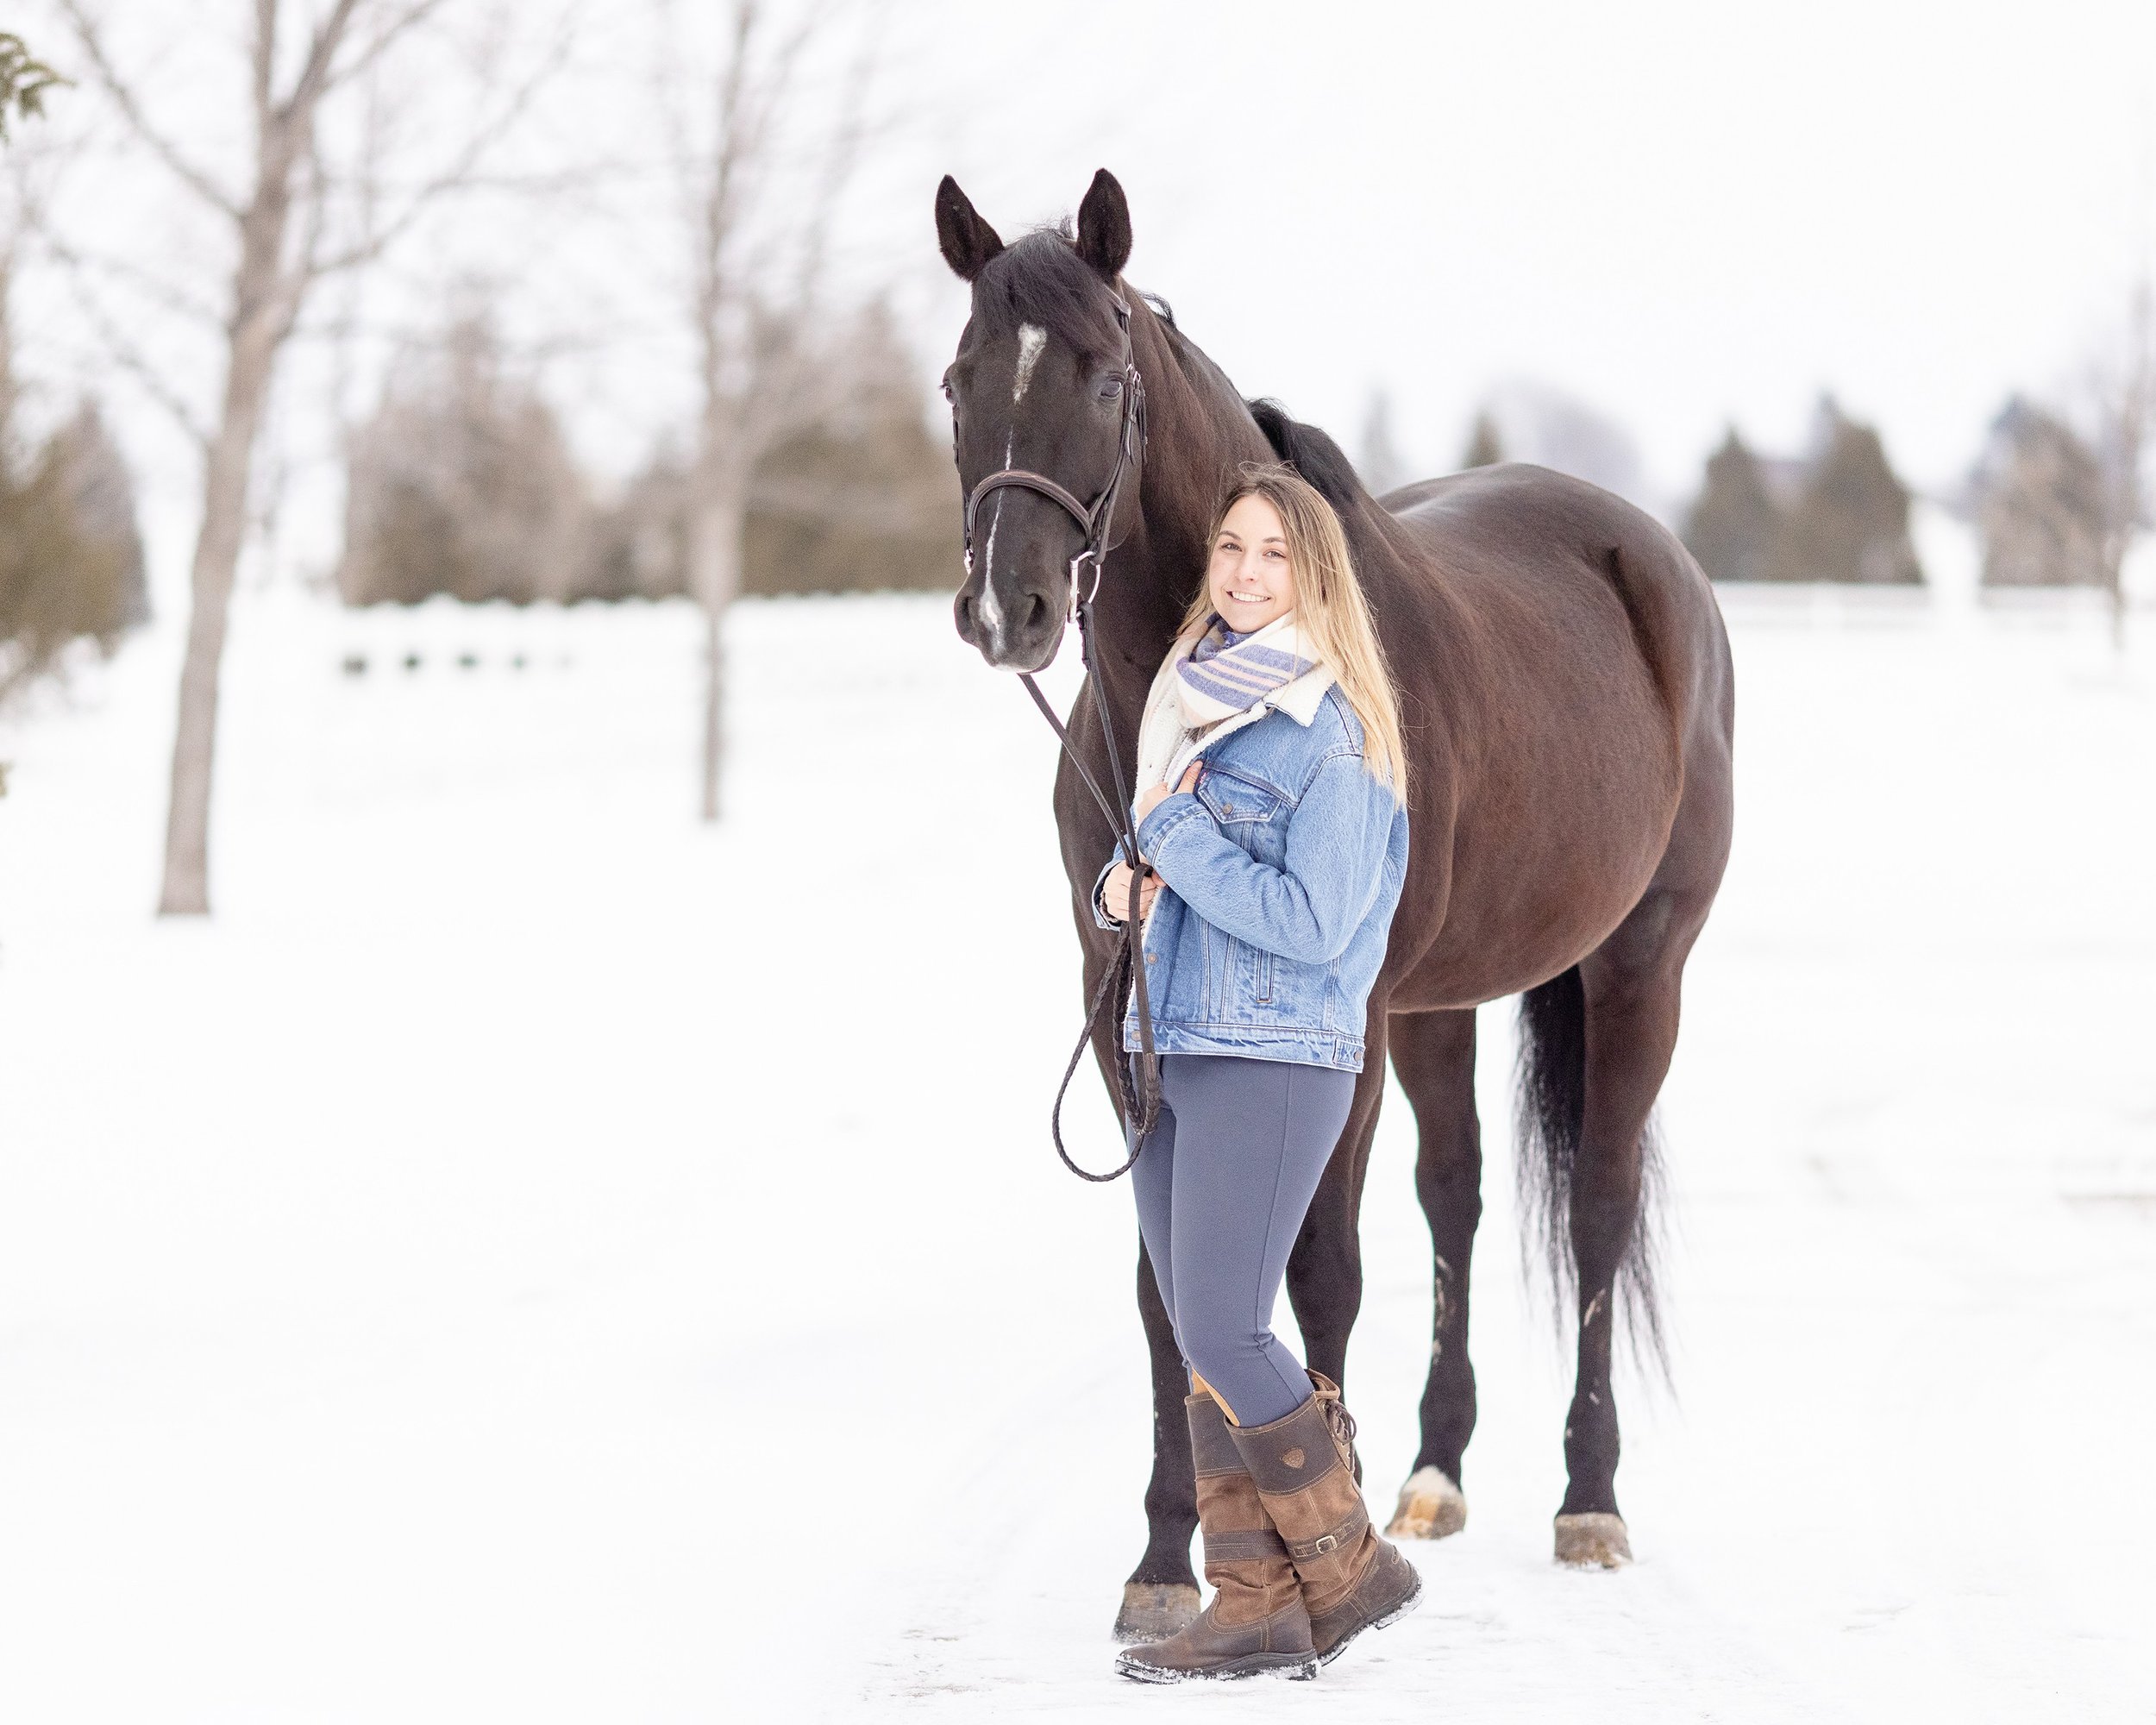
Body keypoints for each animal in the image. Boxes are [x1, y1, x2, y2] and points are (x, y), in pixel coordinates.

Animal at [931, 168, 1733, 1639]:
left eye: (1108, 376)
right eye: (961, 379)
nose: (1007, 609)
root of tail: (1647, 556)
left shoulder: (1335, 1021)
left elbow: (1320, 1269)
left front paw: (1326, 1564)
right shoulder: (1127, 1009)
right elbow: (1170, 1283)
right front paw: (1163, 1562)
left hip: (1639, 965)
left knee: (1596, 1203)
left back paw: (1589, 1503)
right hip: (1440, 1004)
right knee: (1457, 1195)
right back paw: (1434, 1476)